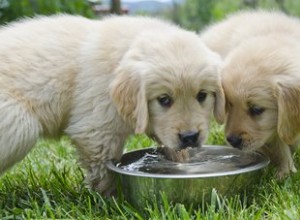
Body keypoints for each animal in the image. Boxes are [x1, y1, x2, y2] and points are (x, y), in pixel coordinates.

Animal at [0, 14, 225, 195]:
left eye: (202, 95)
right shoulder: (97, 129)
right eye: (164, 100)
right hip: (19, 124)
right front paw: (112, 198)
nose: (190, 137)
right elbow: (104, 168)